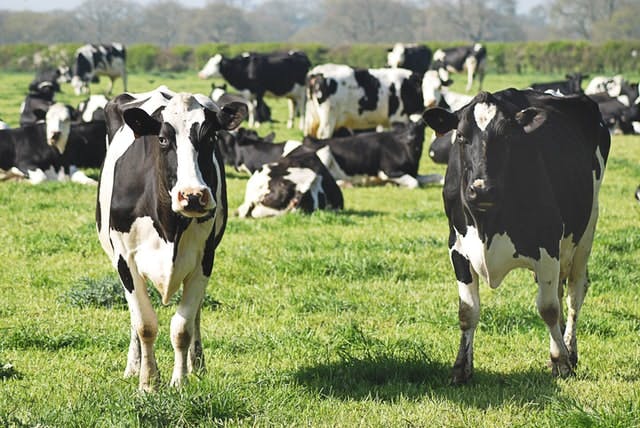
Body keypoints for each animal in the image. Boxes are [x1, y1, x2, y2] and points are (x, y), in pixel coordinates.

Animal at [97, 87, 248, 392]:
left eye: (211, 137)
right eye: (163, 139)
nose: (193, 195)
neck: (169, 227)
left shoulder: (204, 260)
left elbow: (182, 327)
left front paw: (180, 381)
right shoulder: (125, 260)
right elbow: (144, 324)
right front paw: (147, 383)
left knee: (196, 313)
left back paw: (197, 364)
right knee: (134, 318)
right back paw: (133, 366)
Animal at [298, 113, 440, 188]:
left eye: (421, 125)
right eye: (404, 126)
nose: (411, 137)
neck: (411, 155)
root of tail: (310, 139)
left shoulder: (413, 172)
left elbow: (437, 176)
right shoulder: (387, 171)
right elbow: (414, 183)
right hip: (325, 152)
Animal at [422, 88, 612, 382]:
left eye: (507, 136)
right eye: (461, 136)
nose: (482, 189)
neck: (486, 223)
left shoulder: (547, 246)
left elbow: (548, 308)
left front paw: (561, 362)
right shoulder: (458, 249)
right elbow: (467, 311)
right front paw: (461, 368)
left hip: (586, 229)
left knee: (574, 292)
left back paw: (570, 350)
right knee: (560, 291)